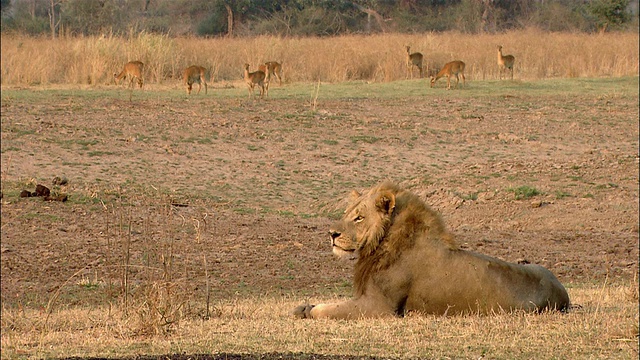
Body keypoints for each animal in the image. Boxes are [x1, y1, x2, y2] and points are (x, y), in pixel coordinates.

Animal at [296, 181, 568, 320]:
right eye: (346, 214)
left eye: (359, 218)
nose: (332, 234)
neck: (381, 243)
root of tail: (563, 292)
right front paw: (303, 306)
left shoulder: (380, 307)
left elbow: (331, 309)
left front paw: (310, 309)